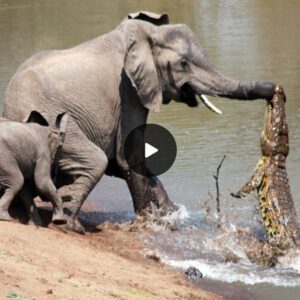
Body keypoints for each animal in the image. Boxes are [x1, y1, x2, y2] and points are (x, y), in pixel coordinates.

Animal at [2, 11, 276, 233]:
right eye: (183, 64)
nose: (274, 89)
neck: (145, 35)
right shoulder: (129, 91)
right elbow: (128, 156)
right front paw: (150, 225)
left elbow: (123, 161)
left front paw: (171, 215)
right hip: (50, 119)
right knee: (95, 161)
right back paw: (70, 226)